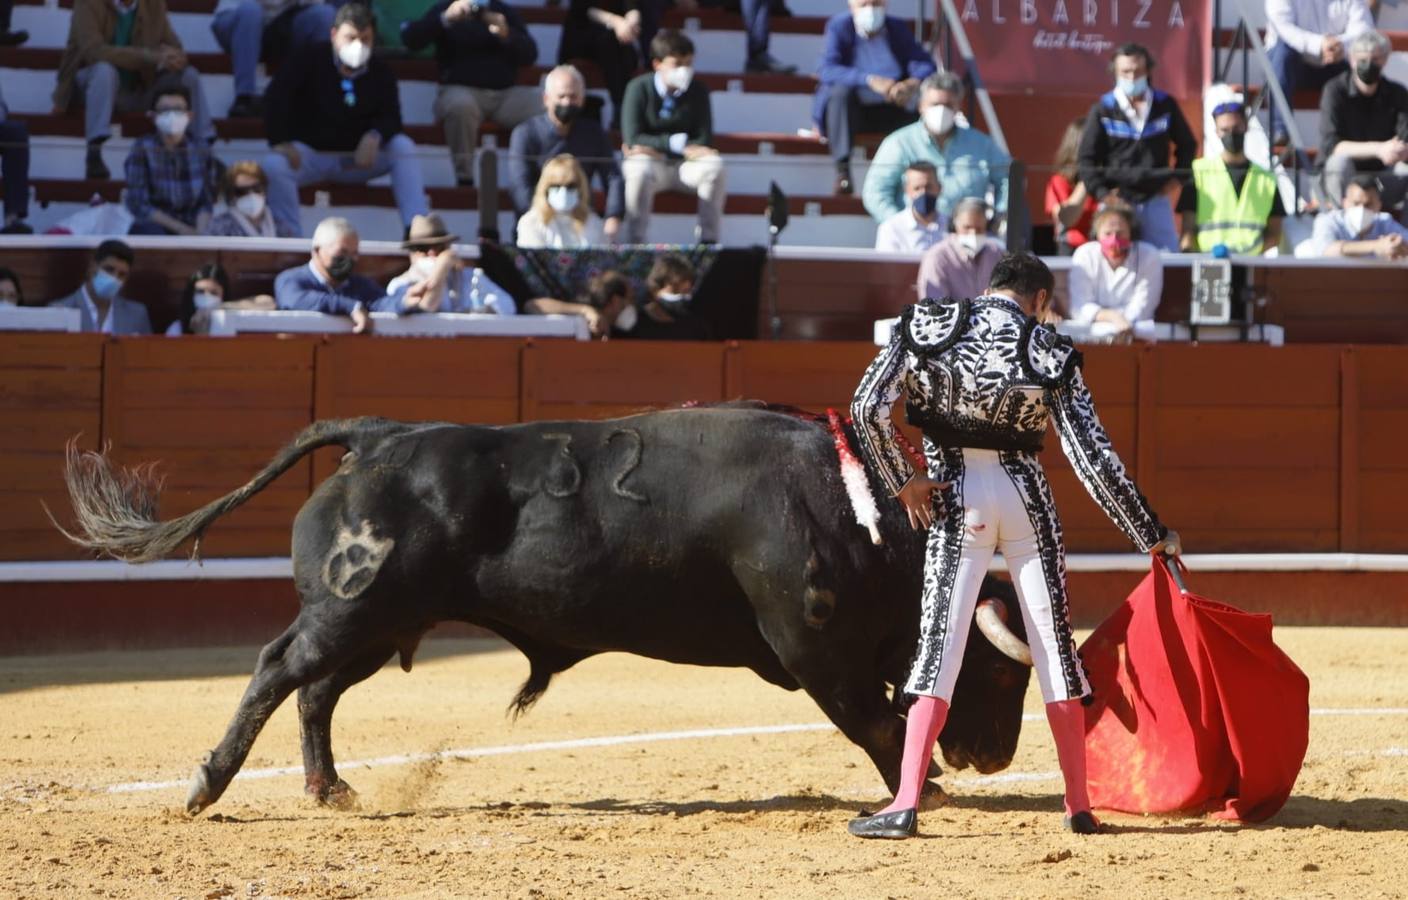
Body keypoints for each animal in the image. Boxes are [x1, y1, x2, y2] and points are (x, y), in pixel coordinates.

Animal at [54, 405, 1036, 811]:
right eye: (996, 669)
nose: (993, 758)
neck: (856, 512)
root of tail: (380, 437)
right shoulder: (813, 649)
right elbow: (876, 723)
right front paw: (926, 789)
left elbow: (879, 720)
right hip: (351, 613)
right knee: (274, 671)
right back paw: (206, 785)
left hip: (375, 623)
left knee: (316, 692)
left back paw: (329, 789)